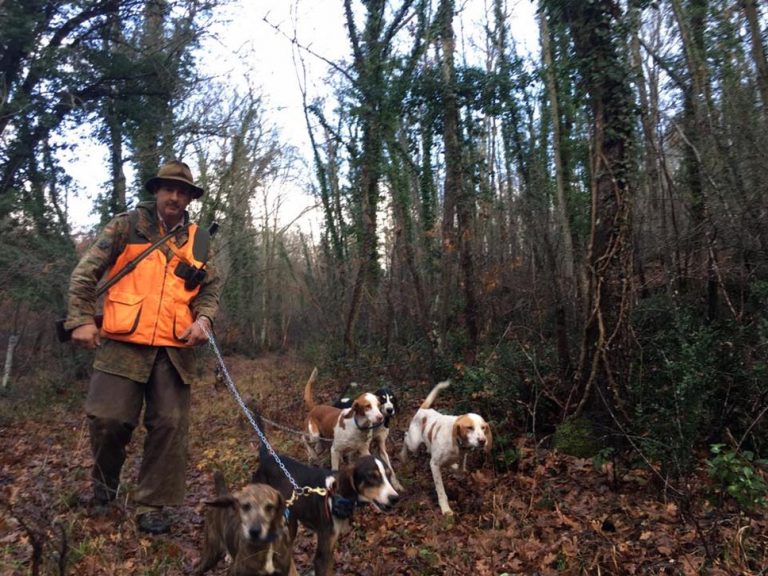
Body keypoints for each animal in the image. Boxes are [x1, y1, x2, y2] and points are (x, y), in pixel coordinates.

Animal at [252, 430, 400, 572]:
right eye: (372, 477)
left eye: (389, 475)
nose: (395, 498)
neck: (335, 495)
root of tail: (266, 458)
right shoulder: (322, 557)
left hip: (291, 519)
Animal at [402, 380, 492, 516]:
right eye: (469, 428)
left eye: (483, 428)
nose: (482, 441)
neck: (457, 443)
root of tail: (423, 410)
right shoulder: (434, 465)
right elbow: (440, 490)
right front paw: (445, 508)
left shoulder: (461, 457)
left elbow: (460, 469)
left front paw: (455, 469)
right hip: (414, 443)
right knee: (405, 437)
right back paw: (403, 455)